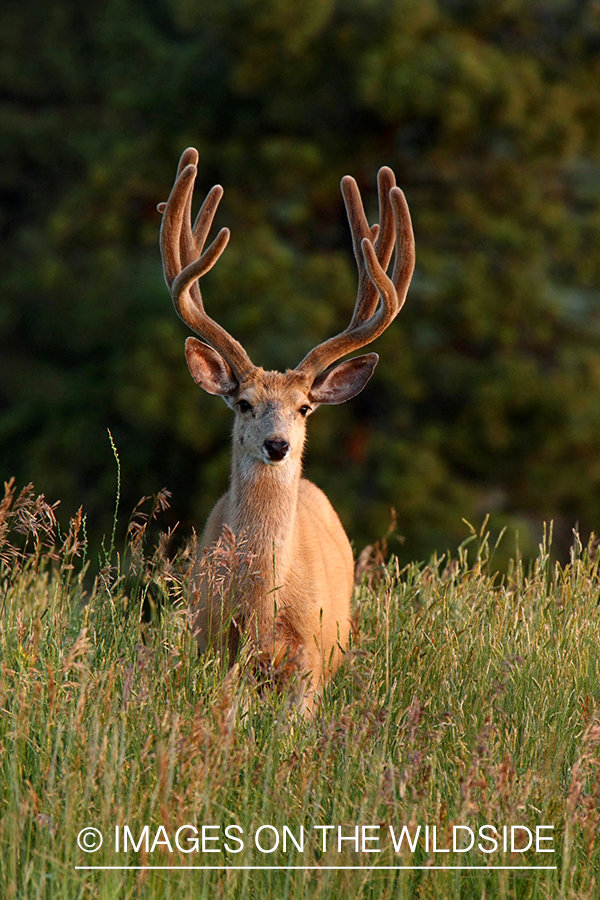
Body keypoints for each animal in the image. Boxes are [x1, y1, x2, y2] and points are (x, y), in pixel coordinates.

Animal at [157, 148, 414, 712]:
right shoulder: (210, 644)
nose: (278, 445)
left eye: (304, 408)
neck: (260, 610)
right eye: (245, 403)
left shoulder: (311, 660)